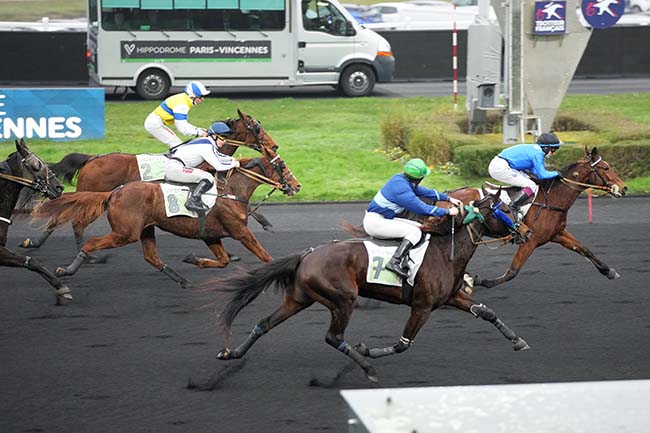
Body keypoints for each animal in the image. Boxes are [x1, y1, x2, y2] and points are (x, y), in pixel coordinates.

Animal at [0, 138, 72, 304]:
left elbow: (31, 261)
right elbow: (32, 261)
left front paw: (60, 286)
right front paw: (61, 286)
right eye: (37, 164)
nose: (59, 187)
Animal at [19, 108, 278, 250]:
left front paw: (265, 222)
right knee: (67, 218)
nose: (274, 146)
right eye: (255, 127)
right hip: (91, 194)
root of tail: (92, 158)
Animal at [31, 147, 300, 288]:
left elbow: (223, 261)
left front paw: (193, 259)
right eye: (282, 167)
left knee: (151, 257)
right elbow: (265, 256)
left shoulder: (211, 235)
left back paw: (182, 280)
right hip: (125, 233)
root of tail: (115, 192)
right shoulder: (240, 232)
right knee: (88, 240)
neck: (230, 190)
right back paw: (66, 270)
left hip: (145, 230)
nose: (296, 186)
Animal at [215, 191, 528, 384]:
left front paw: (517, 341)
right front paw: (366, 351)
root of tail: (307, 254)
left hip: (299, 298)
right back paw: (367, 368)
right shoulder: (423, 305)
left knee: (265, 323)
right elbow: (403, 344)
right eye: (506, 209)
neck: (444, 251)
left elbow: (486, 312)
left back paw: (232, 353)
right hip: (343, 299)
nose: (526, 231)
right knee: (333, 337)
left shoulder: (450, 297)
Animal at [468, 147, 624, 288]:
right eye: (606, 168)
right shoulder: (530, 241)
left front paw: (609, 271)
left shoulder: (557, 234)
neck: (551, 201)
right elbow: (512, 271)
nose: (624, 188)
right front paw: (481, 281)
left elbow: (584, 249)